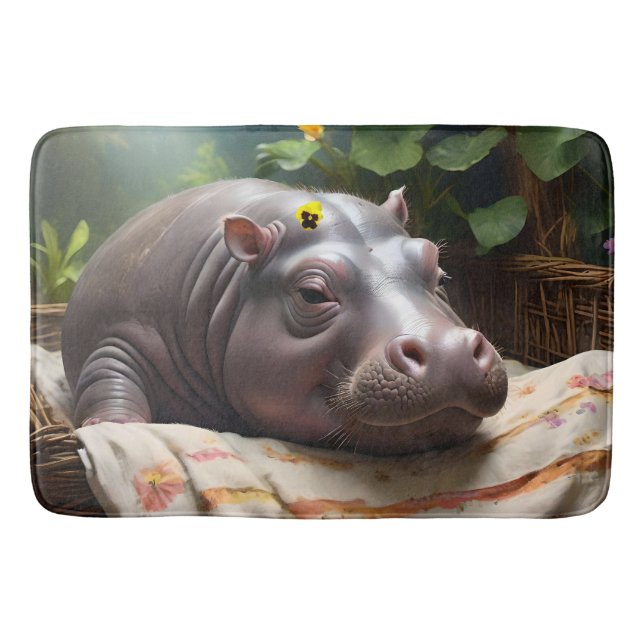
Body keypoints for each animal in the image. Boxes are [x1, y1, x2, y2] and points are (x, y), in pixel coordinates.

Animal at [62, 179, 508, 456]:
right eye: (311, 293)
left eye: (441, 273)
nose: (449, 351)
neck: (232, 280)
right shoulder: (126, 333)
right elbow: (107, 371)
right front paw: (117, 426)